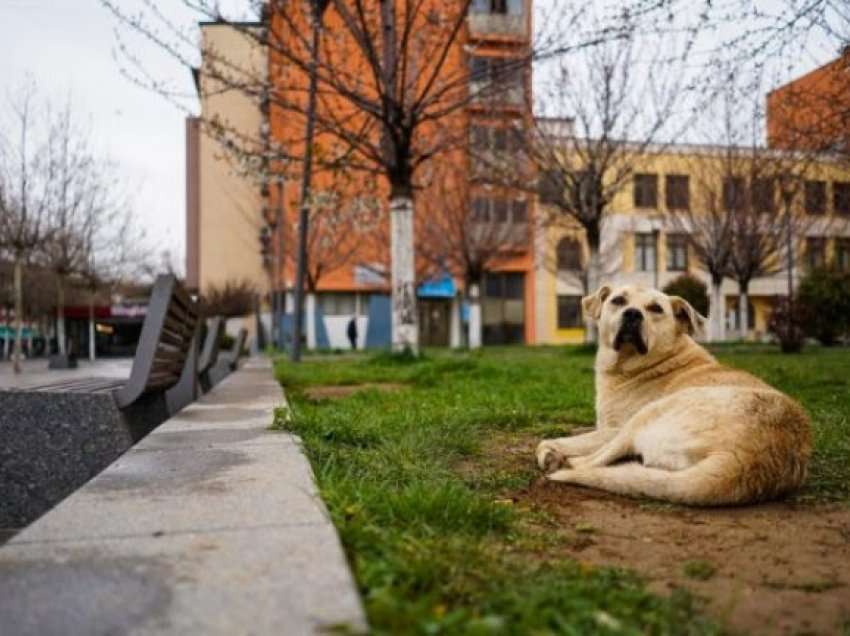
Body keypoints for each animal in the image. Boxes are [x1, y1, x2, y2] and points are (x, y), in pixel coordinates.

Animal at [536, 286, 808, 504]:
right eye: (618, 300)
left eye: (656, 308)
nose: (632, 314)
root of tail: (743, 460)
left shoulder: (614, 429)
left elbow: (555, 440)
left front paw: (552, 452)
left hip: (649, 414)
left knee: (594, 460)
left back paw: (566, 462)